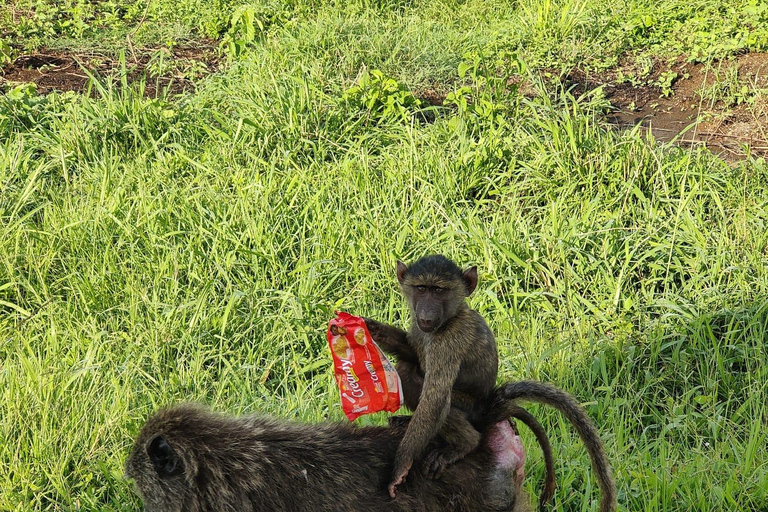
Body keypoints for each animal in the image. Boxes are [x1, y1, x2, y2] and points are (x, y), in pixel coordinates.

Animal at [363, 255, 503, 496]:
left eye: (439, 290)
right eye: (421, 288)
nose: (426, 316)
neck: (453, 315)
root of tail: (486, 404)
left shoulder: (449, 340)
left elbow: (435, 399)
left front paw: (401, 466)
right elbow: (412, 352)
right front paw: (372, 329)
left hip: (470, 408)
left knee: (420, 386)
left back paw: (465, 444)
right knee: (407, 368)